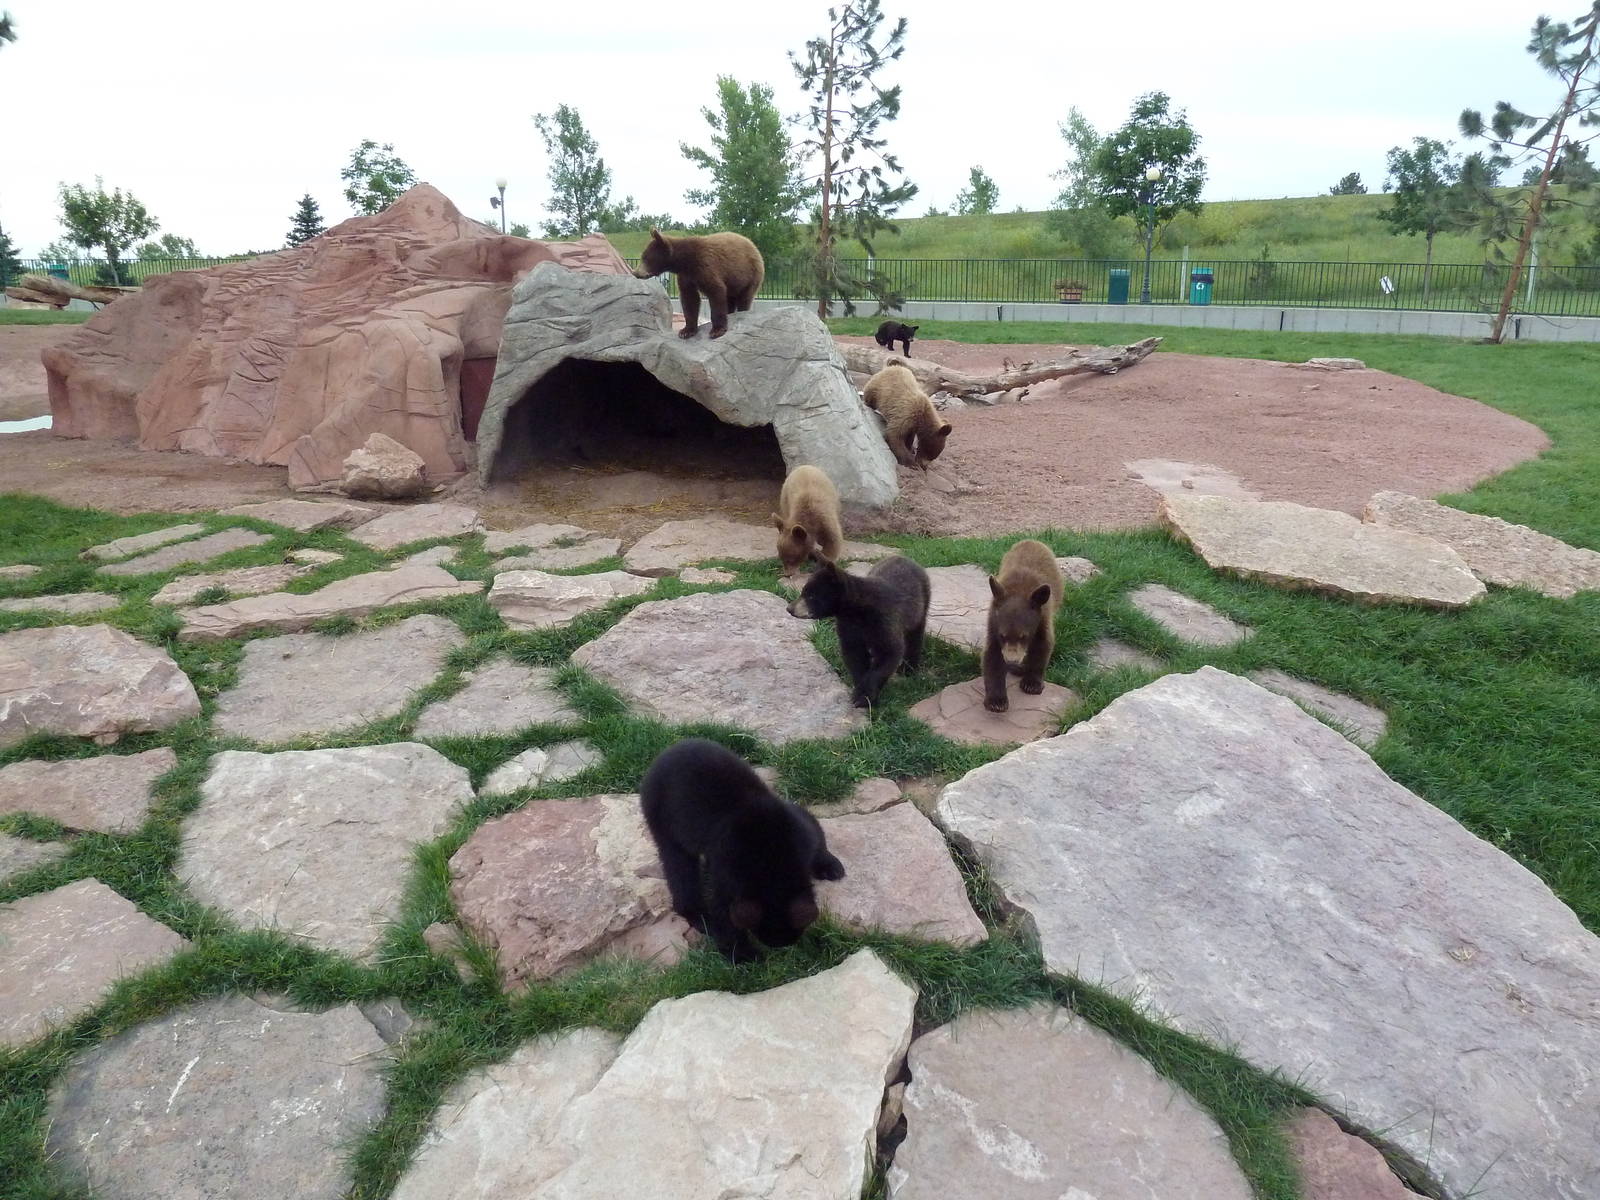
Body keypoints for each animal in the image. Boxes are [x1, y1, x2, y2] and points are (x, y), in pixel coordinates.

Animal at [632, 228, 765, 340]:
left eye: (645, 257)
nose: (636, 273)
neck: (684, 262)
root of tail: (753, 245)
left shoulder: (704, 266)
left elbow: (716, 291)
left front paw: (717, 330)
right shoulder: (686, 277)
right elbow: (689, 299)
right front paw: (686, 331)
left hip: (750, 275)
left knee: (745, 297)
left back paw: (743, 311)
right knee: (730, 299)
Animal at [640, 738, 845, 962]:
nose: (780, 946)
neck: (772, 857)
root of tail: (664, 754)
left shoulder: (800, 830)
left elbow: (815, 832)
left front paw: (833, 868)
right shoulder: (728, 866)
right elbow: (723, 908)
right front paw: (745, 955)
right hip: (661, 819)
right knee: (679, 868)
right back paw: (702, 919)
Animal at [787, 554, 931, 708]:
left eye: (812, 596)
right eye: (803, 591)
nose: (790, 608)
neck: (856, 611)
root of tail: (904, 558)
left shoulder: (884, 620)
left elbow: (889, 651)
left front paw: (864, 697)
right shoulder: (848, 627)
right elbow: (854, 656)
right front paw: (861, 691)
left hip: (920, 607)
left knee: (915, 636)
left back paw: (908, 669)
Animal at [983, 539, 1064, 713]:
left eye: (1024, 636)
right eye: (1003, 635)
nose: (1012, 661)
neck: (1019, 590)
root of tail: (1031, 540)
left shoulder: (1043, 619)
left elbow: (1042, 646)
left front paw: (1031, 684)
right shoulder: (993, 622)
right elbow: (992, 656)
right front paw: (997, 701)